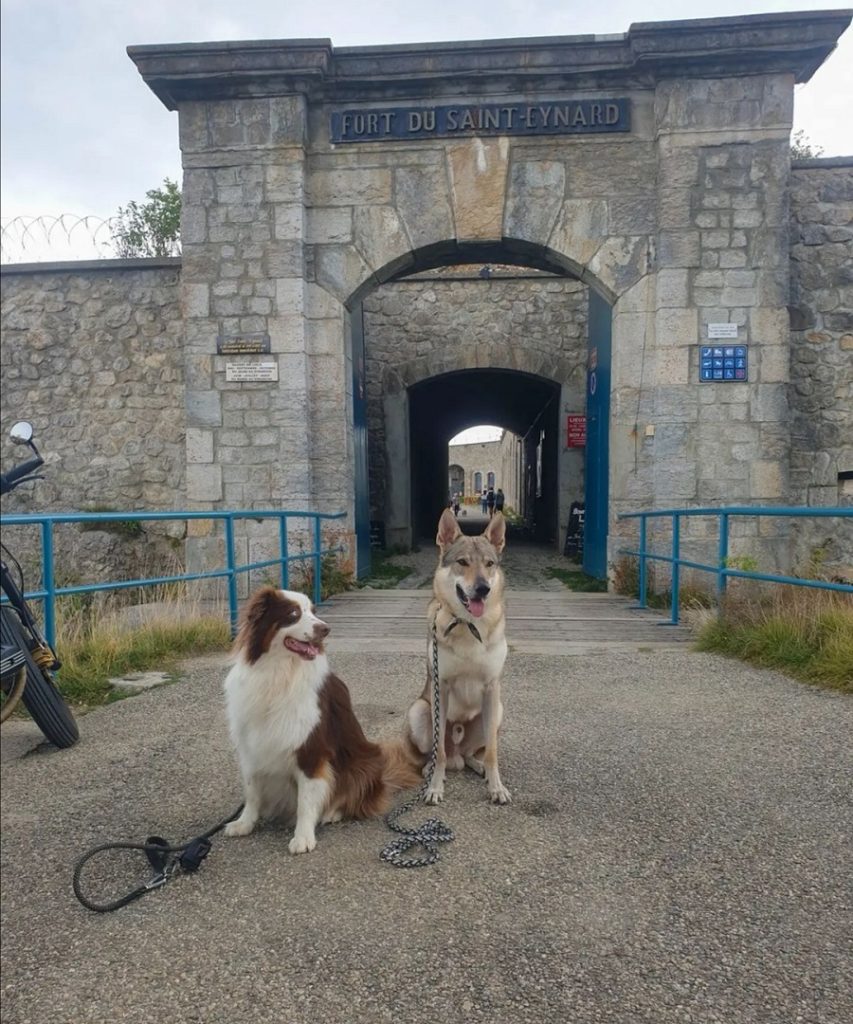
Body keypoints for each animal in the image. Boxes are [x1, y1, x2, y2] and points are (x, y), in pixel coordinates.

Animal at [223, 589, 415, 851]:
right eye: (293, 613)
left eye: (314, 611)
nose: (325, 629)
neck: (279, 673)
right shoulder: (251, 746)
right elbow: (252, 791)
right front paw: (244, 823)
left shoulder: (311, 749)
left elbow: (306, 800)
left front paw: (303, 837)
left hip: (363, 764)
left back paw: (333, 812)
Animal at [407, 507, 512, 802]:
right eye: (462, 562)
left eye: (489, 564)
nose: (483, 588)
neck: (468, 624)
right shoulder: (441, 687)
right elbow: (439, 752)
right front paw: (434, 788)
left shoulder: (492, 687)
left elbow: (492, 752)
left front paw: (496, 787)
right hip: (419, 710)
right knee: (440, 753)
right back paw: (431, 769)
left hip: (496, 712)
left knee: (469, 755)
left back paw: (479, 767)